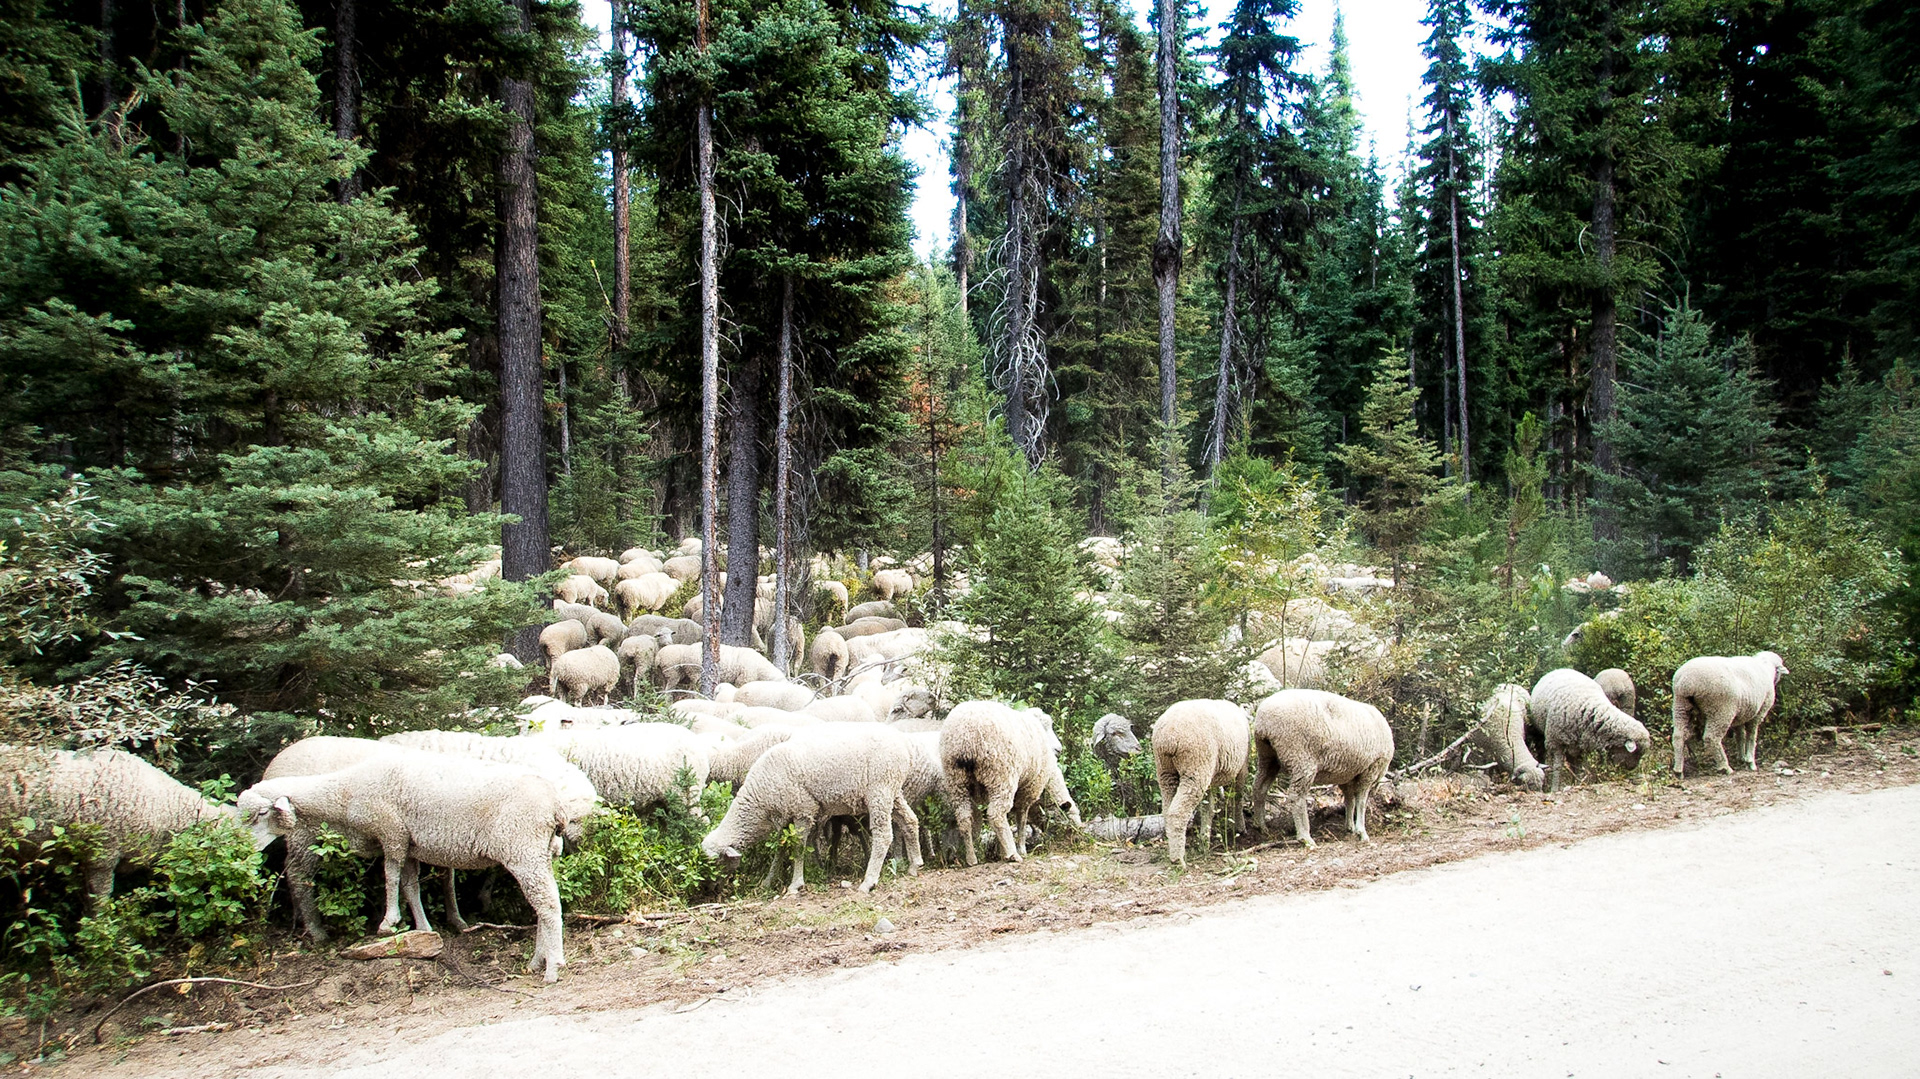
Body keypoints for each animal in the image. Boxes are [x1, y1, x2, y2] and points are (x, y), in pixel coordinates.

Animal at [238, 747, 573, 981]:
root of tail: (556, 805)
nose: (247, 850)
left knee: (548, 905)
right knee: (543, 905)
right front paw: (423, 929)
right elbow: (410, 886)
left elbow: (390, 873)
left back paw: (552, 967)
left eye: (260, 814)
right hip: (540, 852)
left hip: (523, 850)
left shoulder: (392, 831)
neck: (346, 792)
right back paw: (536, 961)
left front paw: (389, 921)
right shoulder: (411, 844)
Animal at [700, 724, 922, 893]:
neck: (759, 799)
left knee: (883, 835)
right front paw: (768, 881)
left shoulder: (803, 811)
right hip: (893, 791)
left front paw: (795, 885)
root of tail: (904, 744)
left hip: (880, 789)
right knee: (910, 820)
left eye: (716, 864)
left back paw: (869, 881)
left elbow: (798, 847)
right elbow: (781, 849)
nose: (710, 890)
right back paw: (915, 864)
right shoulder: (784, 817)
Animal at [938, 701, 1064, 865]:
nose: (1059, 749)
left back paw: (971, 858)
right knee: (996, 815)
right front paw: (1020, 849)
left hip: (956, 781)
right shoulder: (1028, 788)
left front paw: (1001, 850)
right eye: (1047, 726)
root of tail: (966, 737)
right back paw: (1012, 854)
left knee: (964, 818)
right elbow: (1021, 818)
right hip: (1000, 776)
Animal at [1149, 700, 1251, 865]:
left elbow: (1208, 808)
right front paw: (1240, 827)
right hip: (1195, 768)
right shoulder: (1242, 768)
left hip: (1166, 770)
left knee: (1167, 810)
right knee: (1178, 813)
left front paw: (1204, 840)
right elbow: (1238, 796)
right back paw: (1178, 860)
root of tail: (1169, 736)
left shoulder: (1210, 778)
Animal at [1250, 689, 1394, 847]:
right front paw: (1361, 831)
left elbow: (1349, 799)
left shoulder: (1349, 776)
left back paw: (1260, 825)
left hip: (1267, 755)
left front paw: (1350, 826)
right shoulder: (1370, 769)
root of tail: (1264, 719)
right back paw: (1305, 836)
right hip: (1300, 757)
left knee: (1259, 788)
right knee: (1296, 796)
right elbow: (1361, 801)